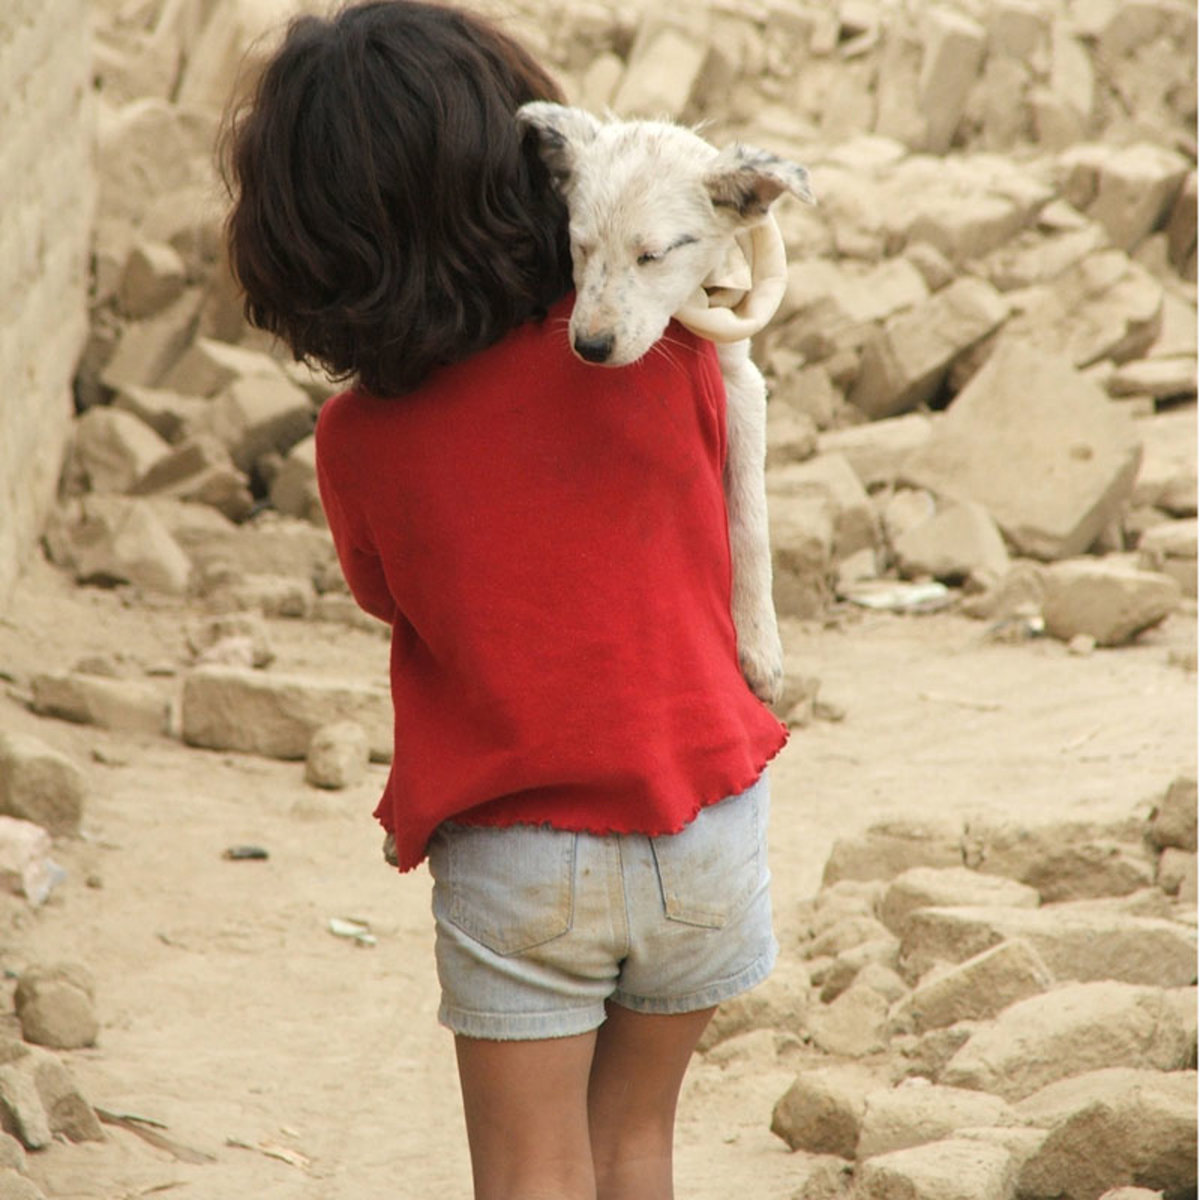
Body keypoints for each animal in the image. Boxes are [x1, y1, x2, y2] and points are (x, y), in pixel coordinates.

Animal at [516, 102, 814, 707]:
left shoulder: (741, 380)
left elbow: (750, 517)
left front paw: (760, 646)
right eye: (580, 246)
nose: (590, 346)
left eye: (651, 256)